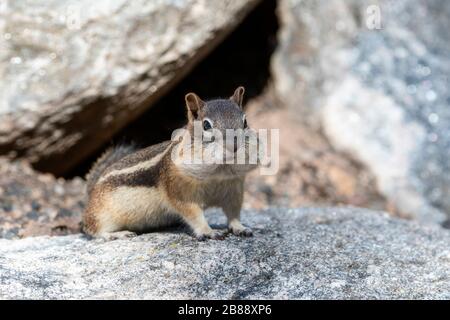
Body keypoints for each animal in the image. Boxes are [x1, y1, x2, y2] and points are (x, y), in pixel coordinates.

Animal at [83, 86, 260, 239]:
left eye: (245, 122)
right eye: (206, 125)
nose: (234, 146)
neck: (218, 170)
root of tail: (91, 190)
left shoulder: (233, 189)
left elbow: (233, 212)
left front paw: (240, 227)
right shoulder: (179, 191)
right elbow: (193, 214)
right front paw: (208, 231)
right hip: (102, 214)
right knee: (93, 229)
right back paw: (117, 234)